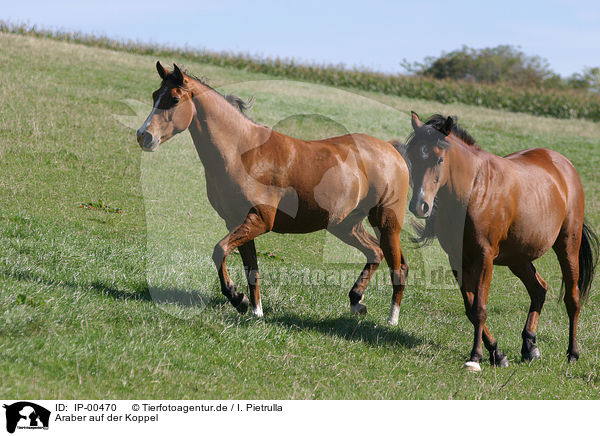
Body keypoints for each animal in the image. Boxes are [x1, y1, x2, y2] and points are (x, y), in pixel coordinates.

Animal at [136, 63, 410, 324]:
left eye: (174, 99)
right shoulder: (238, 222)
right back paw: (356, 301)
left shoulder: (259, 219)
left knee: (397, 267)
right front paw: (255, 310)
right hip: (345, 224)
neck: (243, 153)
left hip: (386, 223)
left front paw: (237, 298)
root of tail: (393, 152)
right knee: (375, 252)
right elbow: (251, 269)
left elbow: (220, 251)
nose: (144, 136)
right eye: (155, 95)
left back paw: (391, 319)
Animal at [406, 112, 596, 372]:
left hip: (568, 246)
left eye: (439, 159)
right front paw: (496, 353)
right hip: (518, 257)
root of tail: (564, 165)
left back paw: (573, 353)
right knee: (539, 289)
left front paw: (476, 356)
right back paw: (529, 346)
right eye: (413, 157)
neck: (474, 190)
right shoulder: (457, 259)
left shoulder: (484, 257)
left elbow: (479, 307)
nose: (420, 205)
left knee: (572, 299)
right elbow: (470, 308)